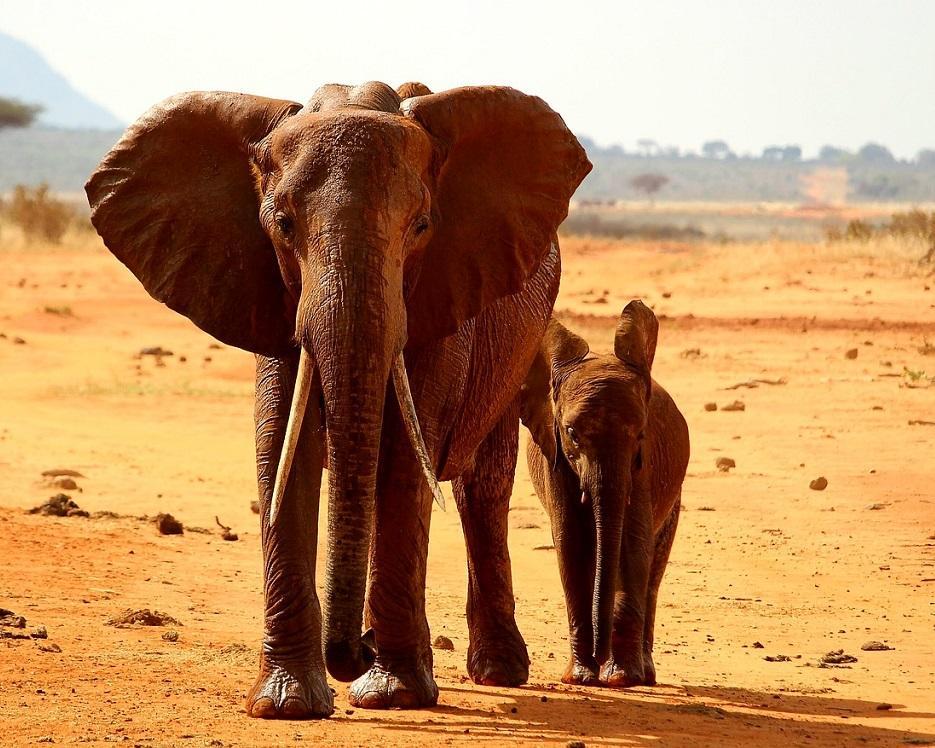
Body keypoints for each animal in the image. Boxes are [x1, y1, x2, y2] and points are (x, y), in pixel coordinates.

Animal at [84, 82, 588, 720]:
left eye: (422, 225)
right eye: (281, 224)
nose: (353, 649)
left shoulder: (441, 297)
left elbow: (404, 460)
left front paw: (394, 695)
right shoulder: (266, 292)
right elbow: (281, 449)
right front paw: (286, 703)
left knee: (483, 488)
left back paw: (495, 671)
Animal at [524, 300, 692, 688]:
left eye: (640, 434)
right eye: (571, 432)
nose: (600, 659)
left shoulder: (643, 467)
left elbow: (633, 543)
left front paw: (620, 678)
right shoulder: (553, 455)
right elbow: (570, 543)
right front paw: (581, 677)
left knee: (654, 568)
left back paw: (644, 673)